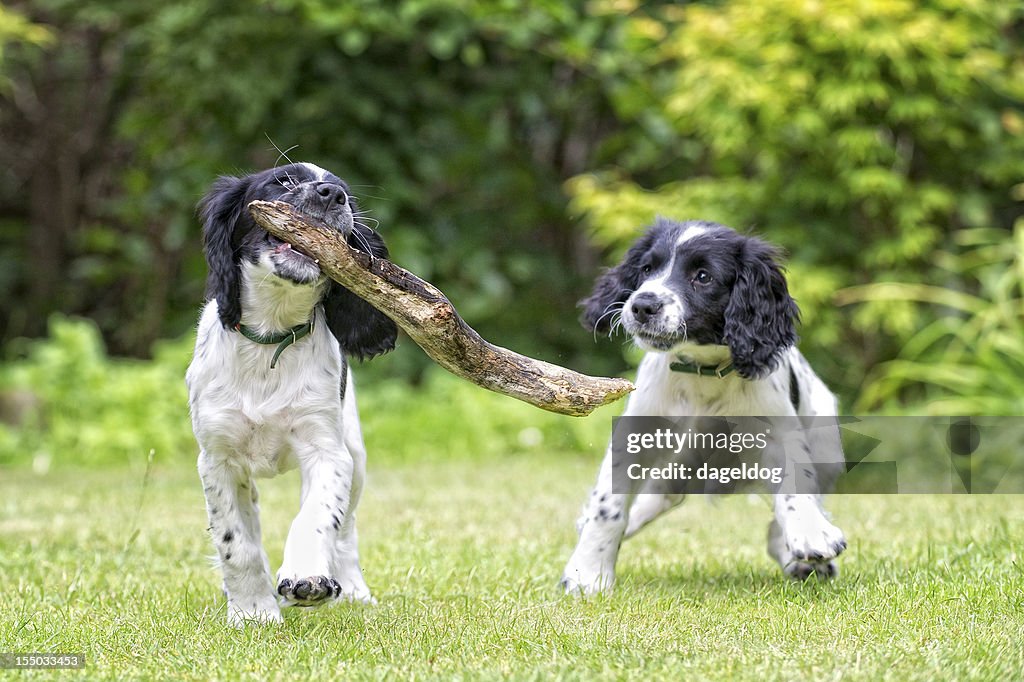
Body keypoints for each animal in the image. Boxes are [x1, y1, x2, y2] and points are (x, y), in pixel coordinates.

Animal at [184, 161, 395, 622]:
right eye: (283, 182)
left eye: (347, 195)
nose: (332, 195)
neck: (272, 338)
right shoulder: (217, 459)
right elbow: (236, 542)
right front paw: (253, 612)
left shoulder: (327, 451)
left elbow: (316, 516)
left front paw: (307, 577)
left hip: (356, 453)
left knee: (346, 529)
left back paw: (352, 588)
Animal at [561, 219, 847, 593]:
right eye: (647, 269)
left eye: (703, 276)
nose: (642, 305)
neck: (702, 373)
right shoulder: (637, 432)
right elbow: (608, 504)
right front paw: (587, 574)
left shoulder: (777, 432)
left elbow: (795, 486)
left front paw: (810, 533)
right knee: (658, 494)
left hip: (826, 445)